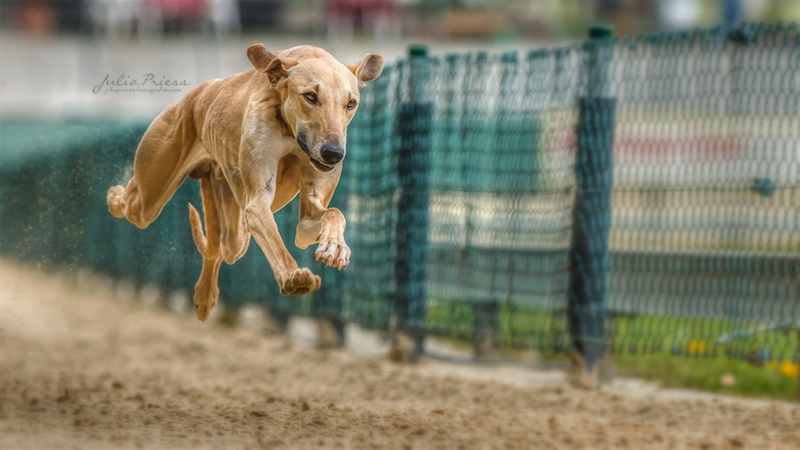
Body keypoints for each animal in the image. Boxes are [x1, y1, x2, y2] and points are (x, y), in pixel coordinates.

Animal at [105, 44, 384, 320]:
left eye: (351, 103)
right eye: (310, 96)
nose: (334, 153)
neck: (289, 128)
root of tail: (193, 97)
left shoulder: (306, 219)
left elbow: (334, 213)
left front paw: (335, 246)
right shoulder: (257, 201)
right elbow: (275, 242)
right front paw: (293, 276)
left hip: (234, 227)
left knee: (220, 248)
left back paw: (205, 295)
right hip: (151, 194)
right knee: (135, 202)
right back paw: (114, 197)